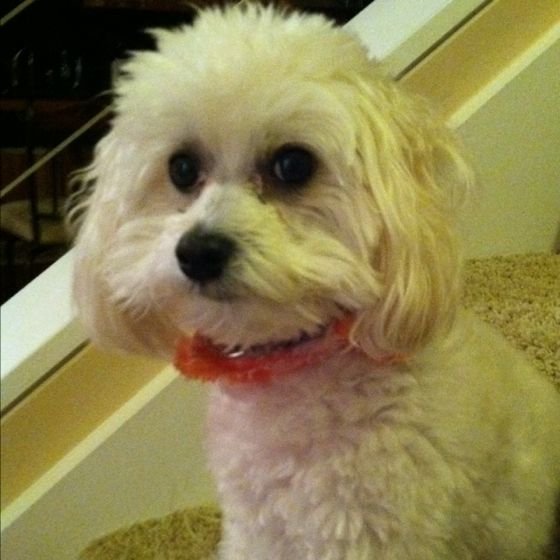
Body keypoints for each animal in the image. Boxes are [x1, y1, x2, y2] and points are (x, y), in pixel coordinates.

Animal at [71, 5, 560, 560]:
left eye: (292, 164)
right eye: (182, 168)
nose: (197, 253)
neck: (294, 366)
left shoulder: (370, 533)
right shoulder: (256, 531)